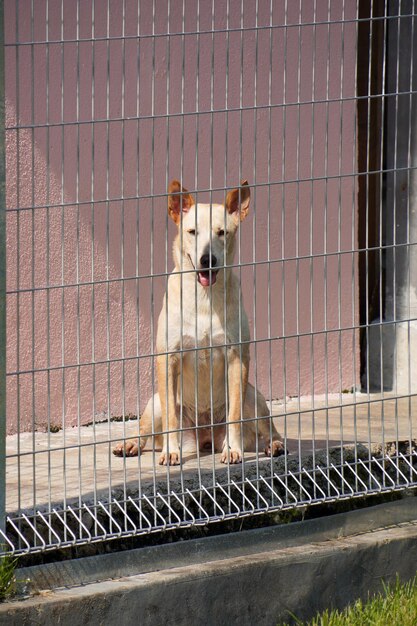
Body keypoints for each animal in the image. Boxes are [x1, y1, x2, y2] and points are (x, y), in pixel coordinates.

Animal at [112, 180, 284, 464]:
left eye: (222, 233)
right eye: (192, 232)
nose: (207, 260)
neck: (204, 298)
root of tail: (204, 439)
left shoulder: (237, 358)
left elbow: (235, 415)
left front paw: (233, 449)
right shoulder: (168, 358)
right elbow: (171, 417)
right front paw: (171, 452)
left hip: (252, 395)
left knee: (266, 427)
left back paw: (274, 445)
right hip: (154, 402)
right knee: (145, 429)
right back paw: (130, 444)